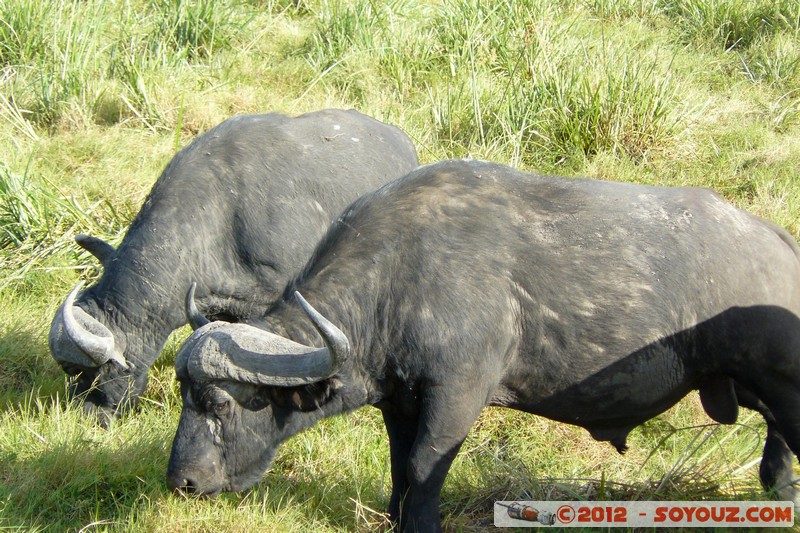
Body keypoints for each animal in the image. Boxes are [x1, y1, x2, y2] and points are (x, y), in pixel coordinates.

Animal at [166, 159, 800, 532]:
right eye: (182, 396)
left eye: (219, 404)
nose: (182, 483)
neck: (398, 278)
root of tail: (775, 239)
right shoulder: (400, 403)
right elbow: (400, 466)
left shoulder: (456, 395)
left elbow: (424, 467)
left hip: (781, 380)